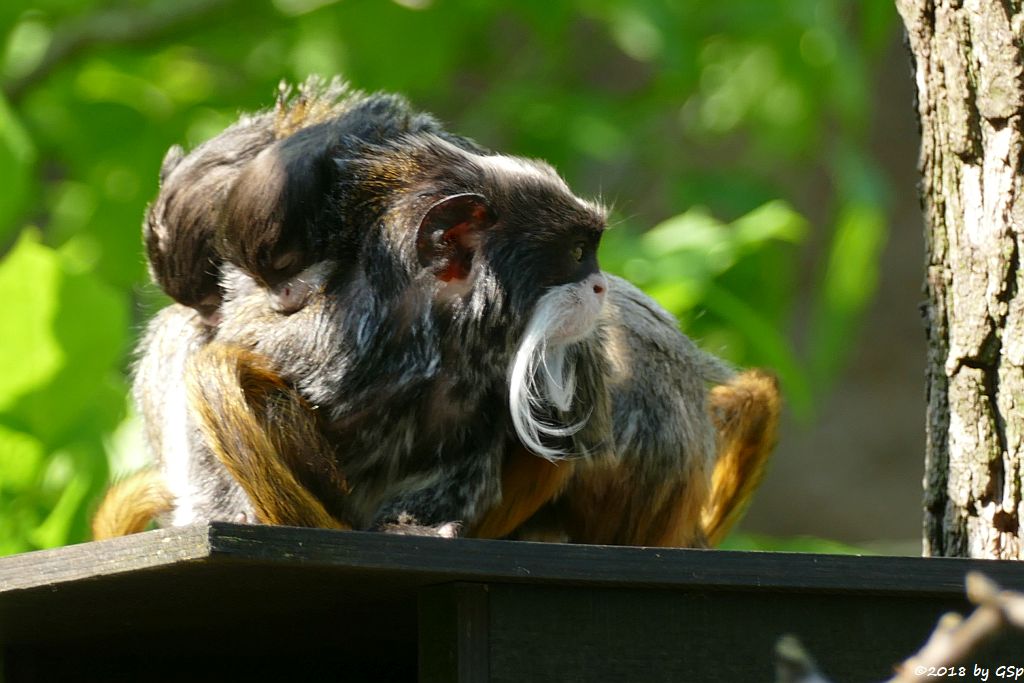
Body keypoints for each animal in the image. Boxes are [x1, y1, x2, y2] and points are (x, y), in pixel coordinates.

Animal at [94, 77, 774, 548]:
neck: (426, 350)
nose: (602, 286)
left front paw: (415, 527)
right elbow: (210, 383)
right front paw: (229, 513)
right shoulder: (314, 342)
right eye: (579, 253)